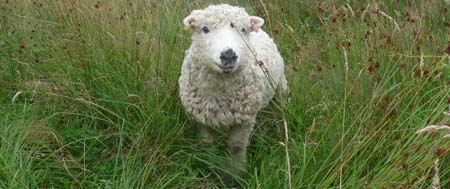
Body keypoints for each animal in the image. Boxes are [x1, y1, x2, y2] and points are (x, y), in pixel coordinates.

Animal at [178, 3, 288, 179]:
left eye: (243, 29)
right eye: (205, 29)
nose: (228, 55)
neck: (219, 92)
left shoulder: (245, 119)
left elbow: (236, 146)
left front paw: (237, 172)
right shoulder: (199, 116)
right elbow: (206, 142)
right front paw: (209, 162)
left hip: (280, 86)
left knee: (281, 107)